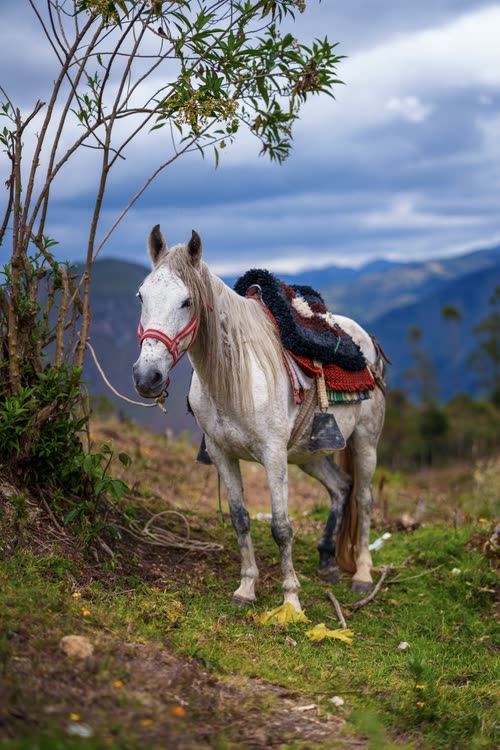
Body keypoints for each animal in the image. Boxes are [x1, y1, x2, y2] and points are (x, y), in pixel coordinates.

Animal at [132, 226, 387, 612]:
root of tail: (365, 340)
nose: (148, 377)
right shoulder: (222, 453)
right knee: (341, 486)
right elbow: (240, 519)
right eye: (142, 297)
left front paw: (291, 601)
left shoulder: (273, 455)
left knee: (364, 498)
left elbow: (282, 527)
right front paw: (246, 588)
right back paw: (327, 562)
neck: (234, 378)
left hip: (365, 442)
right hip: (309, 453)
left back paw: (361, 575)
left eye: (186, 301)